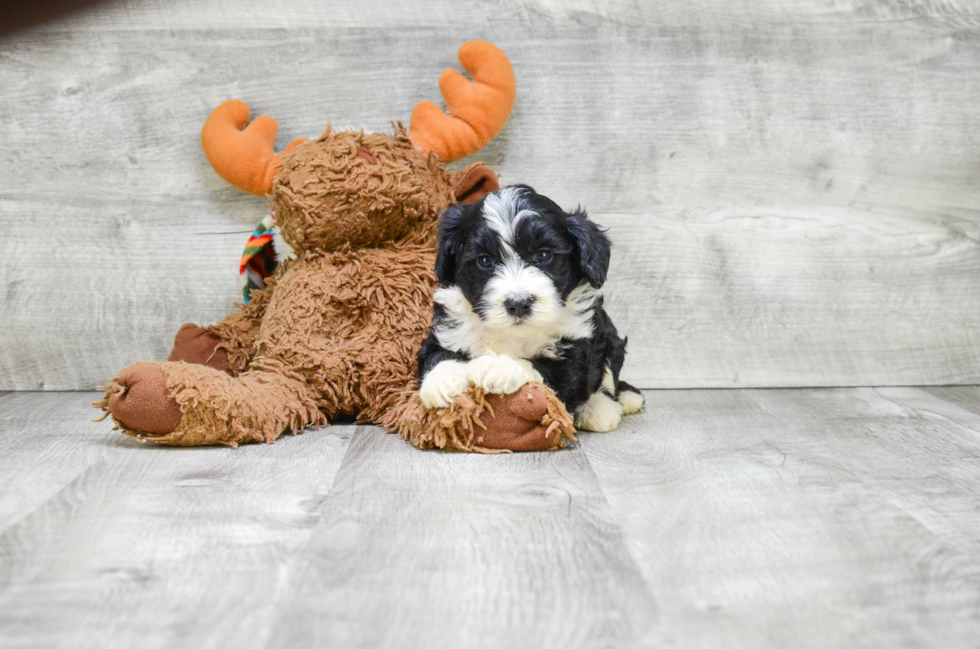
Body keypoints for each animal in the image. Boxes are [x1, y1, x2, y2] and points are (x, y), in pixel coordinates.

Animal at [416, 185, 640, 432]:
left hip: (609, 338)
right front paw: (442, 380)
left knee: (609, 380)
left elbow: (545, 367)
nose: (518, 303)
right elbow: (437, 354)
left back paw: (602, 407)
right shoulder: (445, 330)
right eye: (485, 261)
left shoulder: (577, 353)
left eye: (543, 255)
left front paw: (495, 366)